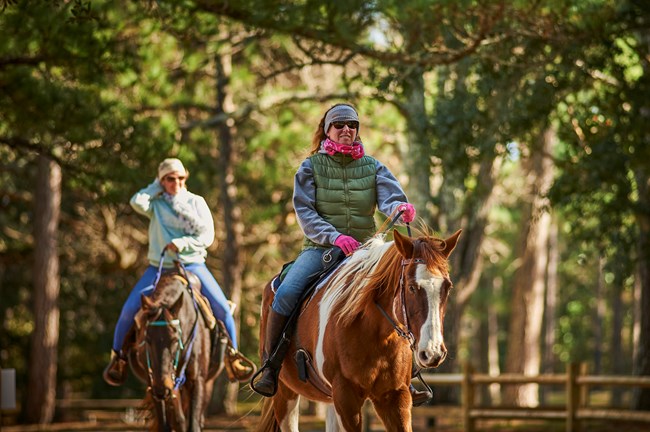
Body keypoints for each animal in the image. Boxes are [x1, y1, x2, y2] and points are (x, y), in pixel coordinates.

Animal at [126, 270, 223, 432]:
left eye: (175, 339)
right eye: (147, 339)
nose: (162, 388)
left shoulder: (196, 380)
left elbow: (193, 424)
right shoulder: (154, 383)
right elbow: (169, 423)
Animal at [256, 228, 458, 430]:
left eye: (447, 287)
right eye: (412, 287)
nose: (433, 352)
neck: (374, 334)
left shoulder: (395, 397)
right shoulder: (346, 398)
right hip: (285, 393)